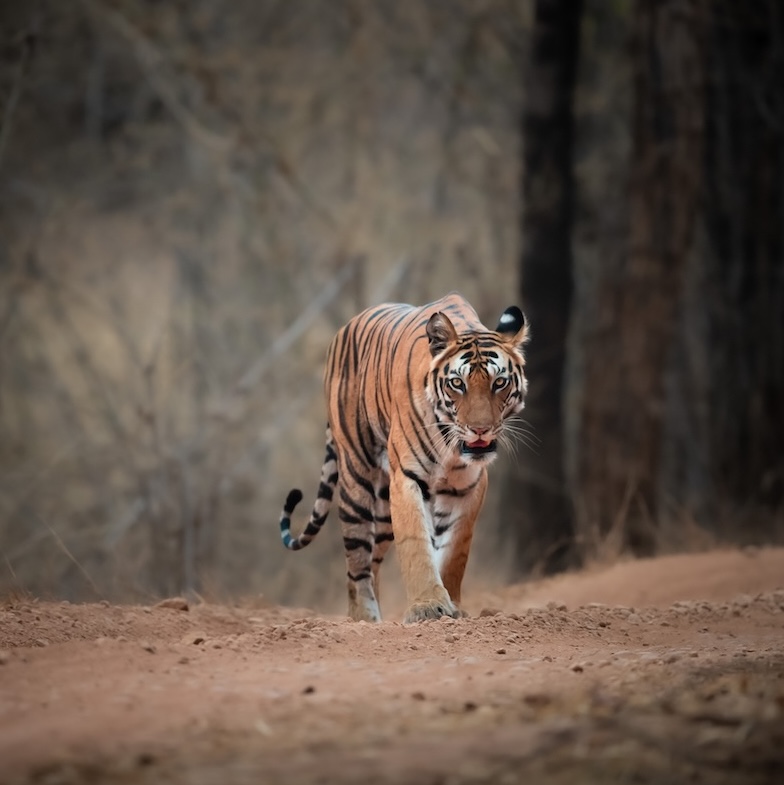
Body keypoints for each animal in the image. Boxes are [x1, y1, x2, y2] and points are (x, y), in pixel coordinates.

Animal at [278, 292, 529, 623]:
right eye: (457, 384)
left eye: (499, 382)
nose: (480, 430)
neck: (451, 446)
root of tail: (343, 331)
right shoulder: (408, 479)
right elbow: (416, 546)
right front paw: (428, 607)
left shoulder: (468, 486)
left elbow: (454, 551)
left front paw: (453, 606)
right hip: (357, 481)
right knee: (357, 563)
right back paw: (365, 618)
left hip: (384, 510)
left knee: (371, 561)